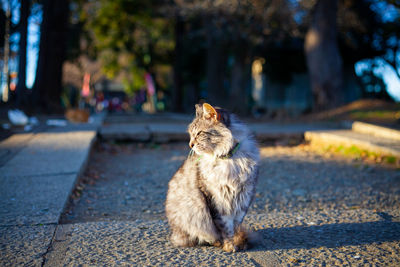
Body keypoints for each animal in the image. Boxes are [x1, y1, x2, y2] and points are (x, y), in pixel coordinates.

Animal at [166, 102, 260, 253]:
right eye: (191, 134)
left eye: (199, 133)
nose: (190, 144)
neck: (229, 160)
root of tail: (174, 233)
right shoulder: (216, 200)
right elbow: (225, 228)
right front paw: (229, 246)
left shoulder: (244, 197)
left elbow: (235, 226)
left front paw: (237, 243)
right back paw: (217, 242)